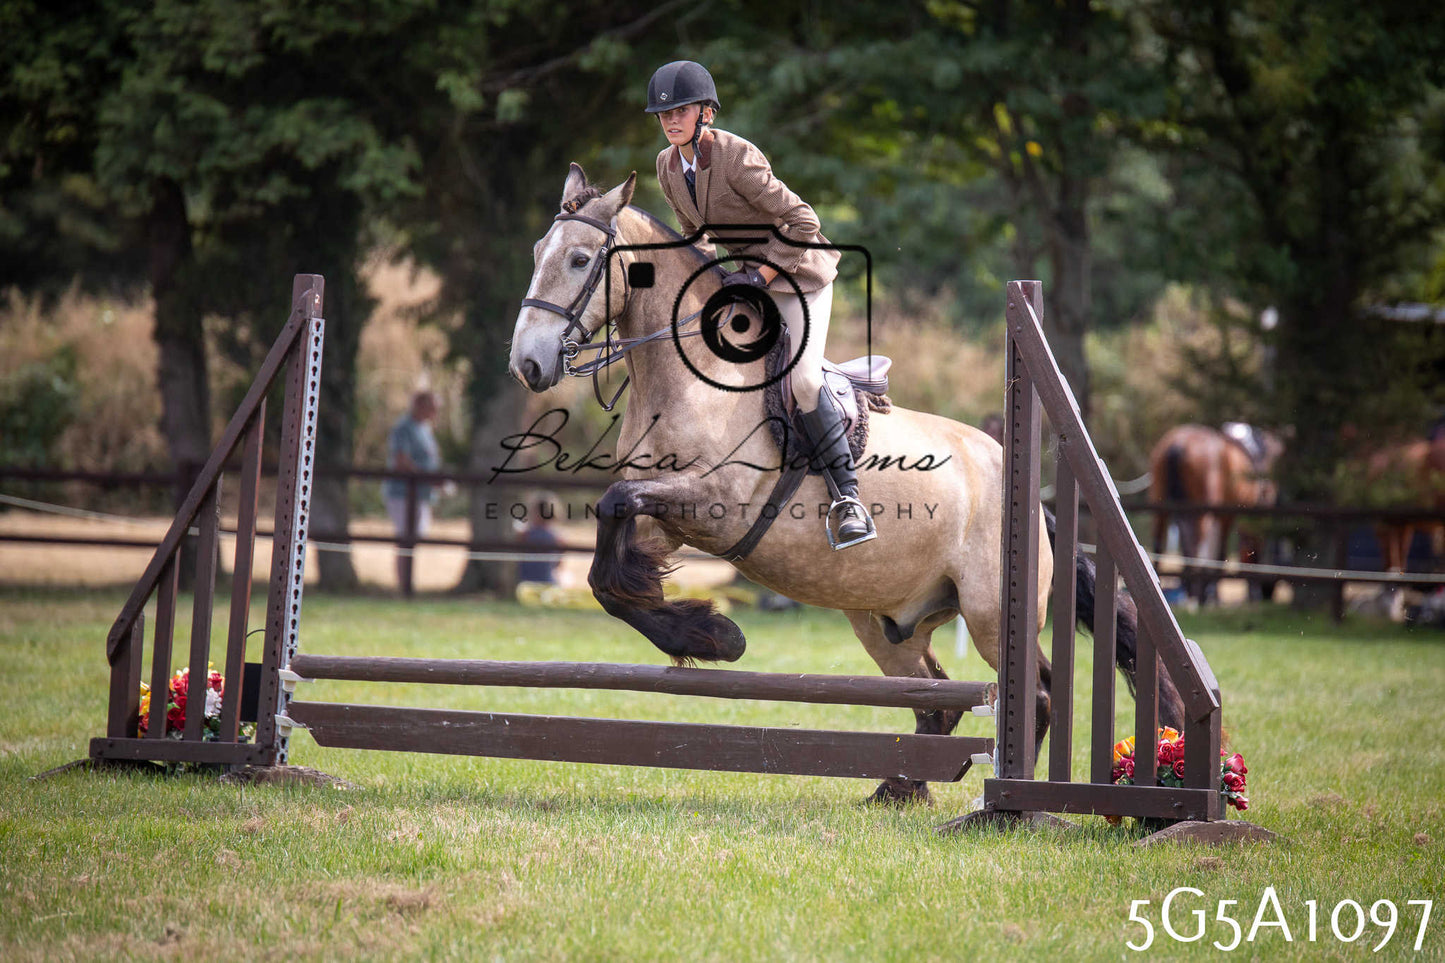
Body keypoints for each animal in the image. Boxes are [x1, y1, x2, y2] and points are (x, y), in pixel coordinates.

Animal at [508, 165, 1184, 803]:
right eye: (536, 250)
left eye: (579, 259)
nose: (528, 365)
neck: (691, 379)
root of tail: (1029, 502)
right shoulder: (662, 523)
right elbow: (606, 571)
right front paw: (708, 633)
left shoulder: (717, 504)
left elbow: (613, 511)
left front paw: (718, 635)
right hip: (885, 621)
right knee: (935, 696)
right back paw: (899, 789)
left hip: (990, 612)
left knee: (1034, 692)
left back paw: (1005, 797)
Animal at [1148, 424, 1281, 604]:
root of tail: (1178, 443)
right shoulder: (1230, 515)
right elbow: (1223, 552)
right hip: (1203, 512)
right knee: (1196, 547)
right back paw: (1196, 593)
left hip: (1162, 506)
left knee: (1162, 543)